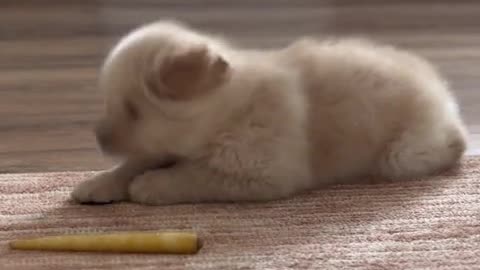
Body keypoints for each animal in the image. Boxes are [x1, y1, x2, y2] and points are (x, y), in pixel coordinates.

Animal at [70, 20, 464, 205]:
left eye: (133, 110)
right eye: (108, 104)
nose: (98, 137)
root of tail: (440, 87)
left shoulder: (262, 171)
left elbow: (193, 175)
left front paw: (151, 184)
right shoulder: (163, 145)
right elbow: (133, 162)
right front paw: (99, 182)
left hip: (403, 154)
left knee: (448, 146)